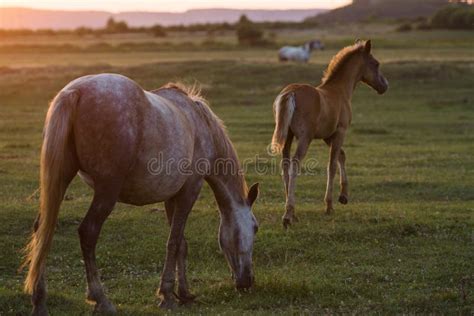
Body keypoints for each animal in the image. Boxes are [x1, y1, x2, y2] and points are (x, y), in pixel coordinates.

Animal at [272, 40, 386, 227]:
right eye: (376, 64)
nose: (385, 85)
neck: (339, 91)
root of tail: (290, 92)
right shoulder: (340, 131)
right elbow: (331, 165)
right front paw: (329, 205)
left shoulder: (327, 136)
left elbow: (341, 156)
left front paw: (344, 196)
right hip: (304, 138)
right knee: (295, 164)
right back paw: (288, 214)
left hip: (288, 136)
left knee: (285, 164)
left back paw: (292, 212)